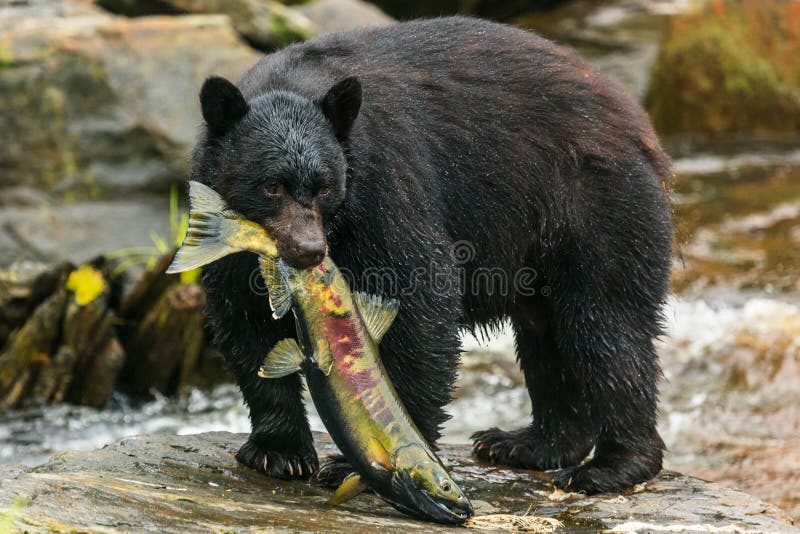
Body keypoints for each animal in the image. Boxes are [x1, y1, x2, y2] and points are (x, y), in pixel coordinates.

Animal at [192, 16, 668, 496]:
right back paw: (528, 444)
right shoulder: (223, 223)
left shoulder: (384, 183)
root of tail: (637, 121)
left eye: (325, 186)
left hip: (595, 207)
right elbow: (244, 318)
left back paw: (612, 464)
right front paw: (279, 451)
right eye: (272, 186)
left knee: (607, 326)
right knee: (546, 335)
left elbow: (420, 296)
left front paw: (377, 454)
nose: (309, 251)